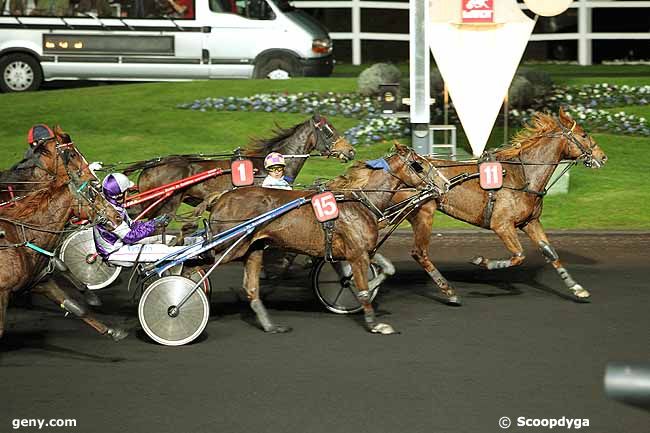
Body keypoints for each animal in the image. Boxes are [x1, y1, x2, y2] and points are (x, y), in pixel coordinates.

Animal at [206, 143, 440, 336]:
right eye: (418, 165)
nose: (442, 184)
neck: (358, 202)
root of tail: (221, 198)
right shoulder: (356, 254)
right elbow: (363, 291)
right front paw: (374, 323)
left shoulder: (361, 249)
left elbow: (388, 267)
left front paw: (364, 284)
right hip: (228, 247)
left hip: (252, 249)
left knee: (251, 289)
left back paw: (271, 326)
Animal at [390, 108, 608, 304]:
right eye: (584, 134)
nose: (603, 156)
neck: (521, 176)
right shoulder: (502, 225)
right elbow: (519, 255)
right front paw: (482, 261)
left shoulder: (530, 222)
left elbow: (550, 252)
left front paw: (576, 288)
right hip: (423, 212)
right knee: (419, 252)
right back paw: (448, 291)